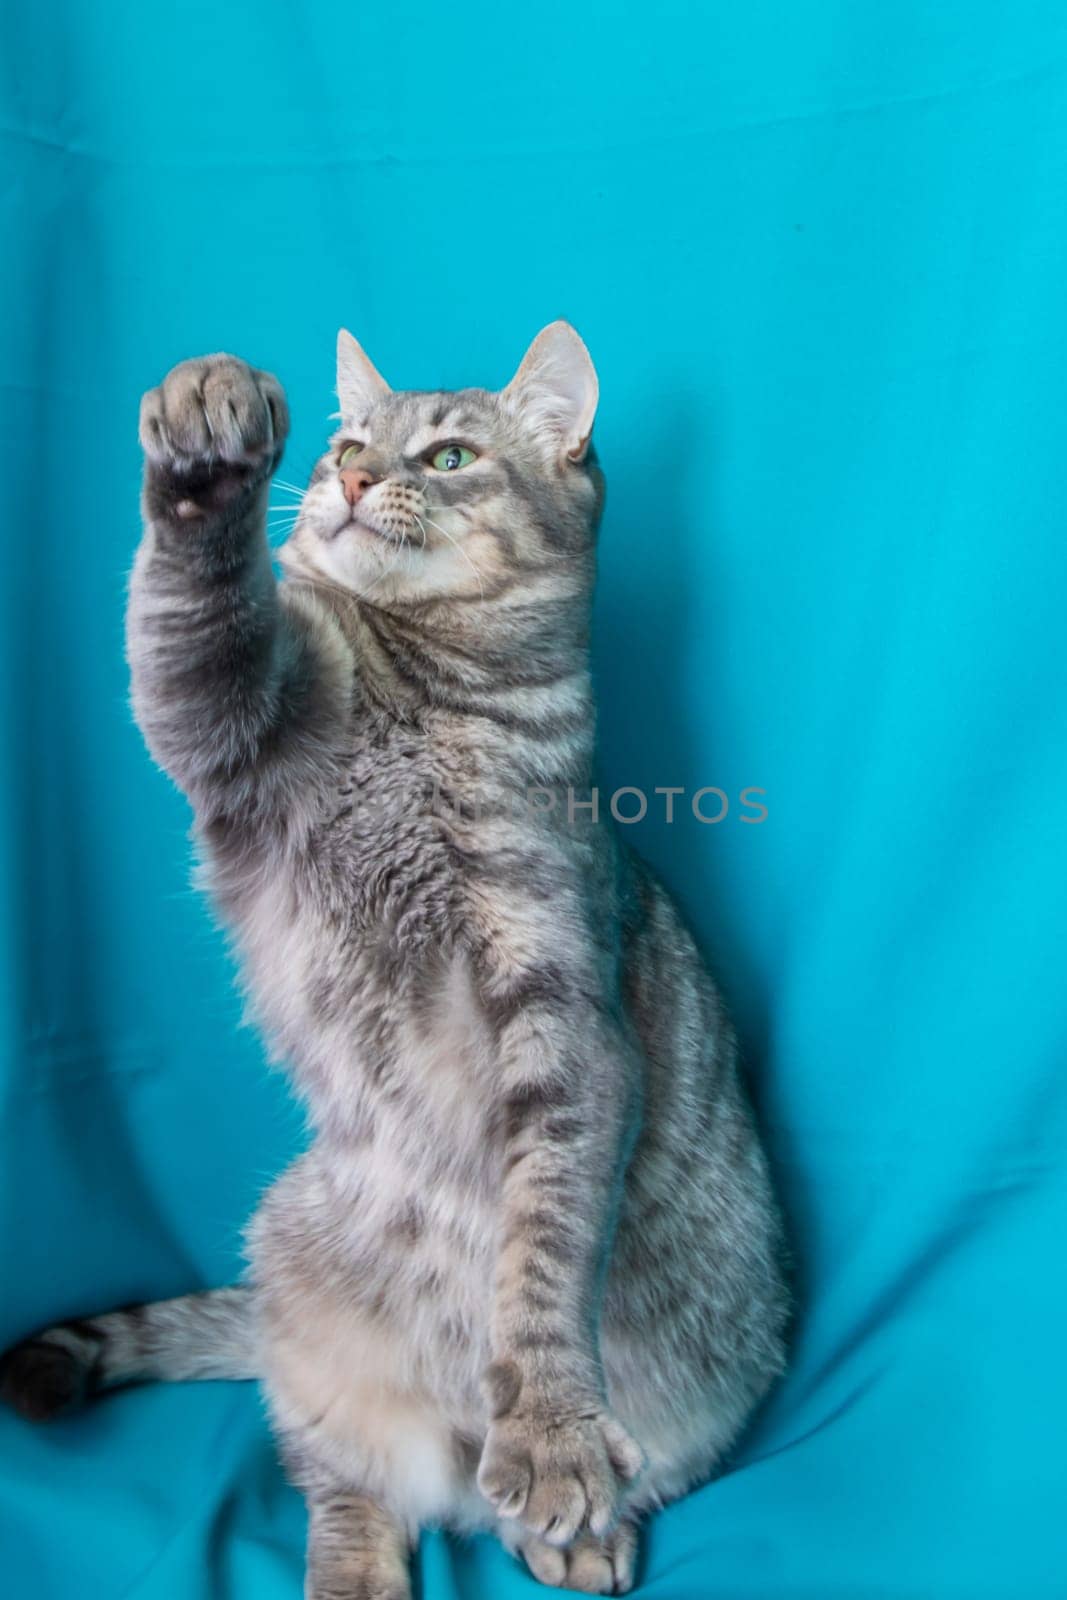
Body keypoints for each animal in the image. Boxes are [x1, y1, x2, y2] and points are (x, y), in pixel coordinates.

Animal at [0, 318, 790, 1593]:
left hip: (681, 1419)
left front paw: (552, 1435)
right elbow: (194, 612)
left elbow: (538, 1256)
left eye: (450, 454)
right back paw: (356, 1570)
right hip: (308, 1312)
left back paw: (576, 1530)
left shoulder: (559, 1013)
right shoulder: (231, 724)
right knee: (350, 1486)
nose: (355, 479)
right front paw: (206, 439)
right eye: (346, 446)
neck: (413, 696)